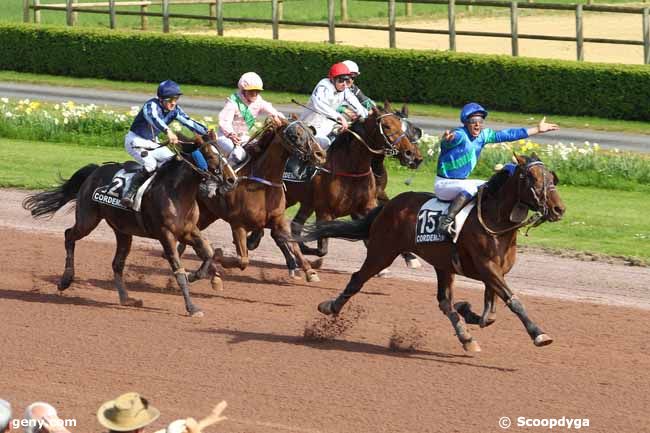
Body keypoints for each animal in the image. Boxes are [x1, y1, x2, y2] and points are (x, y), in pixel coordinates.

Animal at [22, 133, 235, 316]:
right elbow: (178, 271)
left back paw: (126, 298)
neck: (176, 191)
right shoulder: (166, 235)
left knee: (117, 264)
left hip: (123, 231)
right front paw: (192, 307)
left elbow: (208, 253)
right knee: (69, 235)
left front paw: (200, 277)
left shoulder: (189, 231)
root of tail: (95, 170)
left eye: (224, 154)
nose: (232, 179)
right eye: (210, 155)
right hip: (87, 220)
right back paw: (65, 280)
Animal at [298, 154, 560, 352]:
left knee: (444, 302)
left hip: (442, 264)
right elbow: (513, 302)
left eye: (552, 177)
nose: (559, 208)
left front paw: (466, 310)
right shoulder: (488, 268)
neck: (494, 222)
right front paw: (539, 334)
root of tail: (389, 205)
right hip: (382, 252)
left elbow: (490, 314)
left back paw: (466, 338)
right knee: (357, 279)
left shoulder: (494, 273)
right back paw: (330, 307)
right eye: (532, 177)